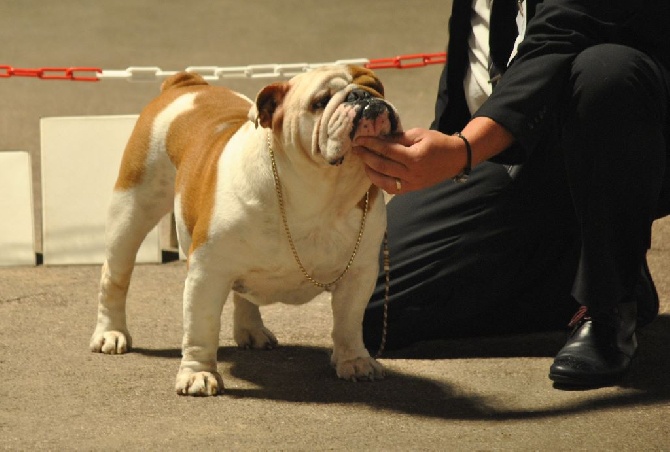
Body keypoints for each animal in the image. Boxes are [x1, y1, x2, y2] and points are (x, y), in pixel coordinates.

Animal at [91, 65, 402, 398]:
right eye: (320, 102)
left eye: (376, 87)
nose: (362, 96)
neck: (322, 193)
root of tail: (186, 84)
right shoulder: (207, 272)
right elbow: (201, 328)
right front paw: (198, 374)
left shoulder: (359, 273)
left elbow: (348, 321)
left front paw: (354, 361)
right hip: (132, 209)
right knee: (115, 277)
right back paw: (110, 333)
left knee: (245, 293)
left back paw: (251, 330)